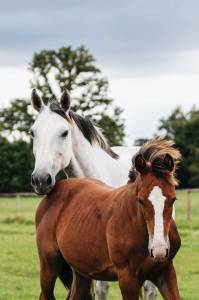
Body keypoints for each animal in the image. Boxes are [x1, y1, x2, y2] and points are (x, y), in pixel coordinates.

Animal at [35, 139, 182, 298]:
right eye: (140, 200)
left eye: (173, 199)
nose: (159, 250)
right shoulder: (127, 278)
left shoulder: (165, 272)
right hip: (49, 264)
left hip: (82, 273)